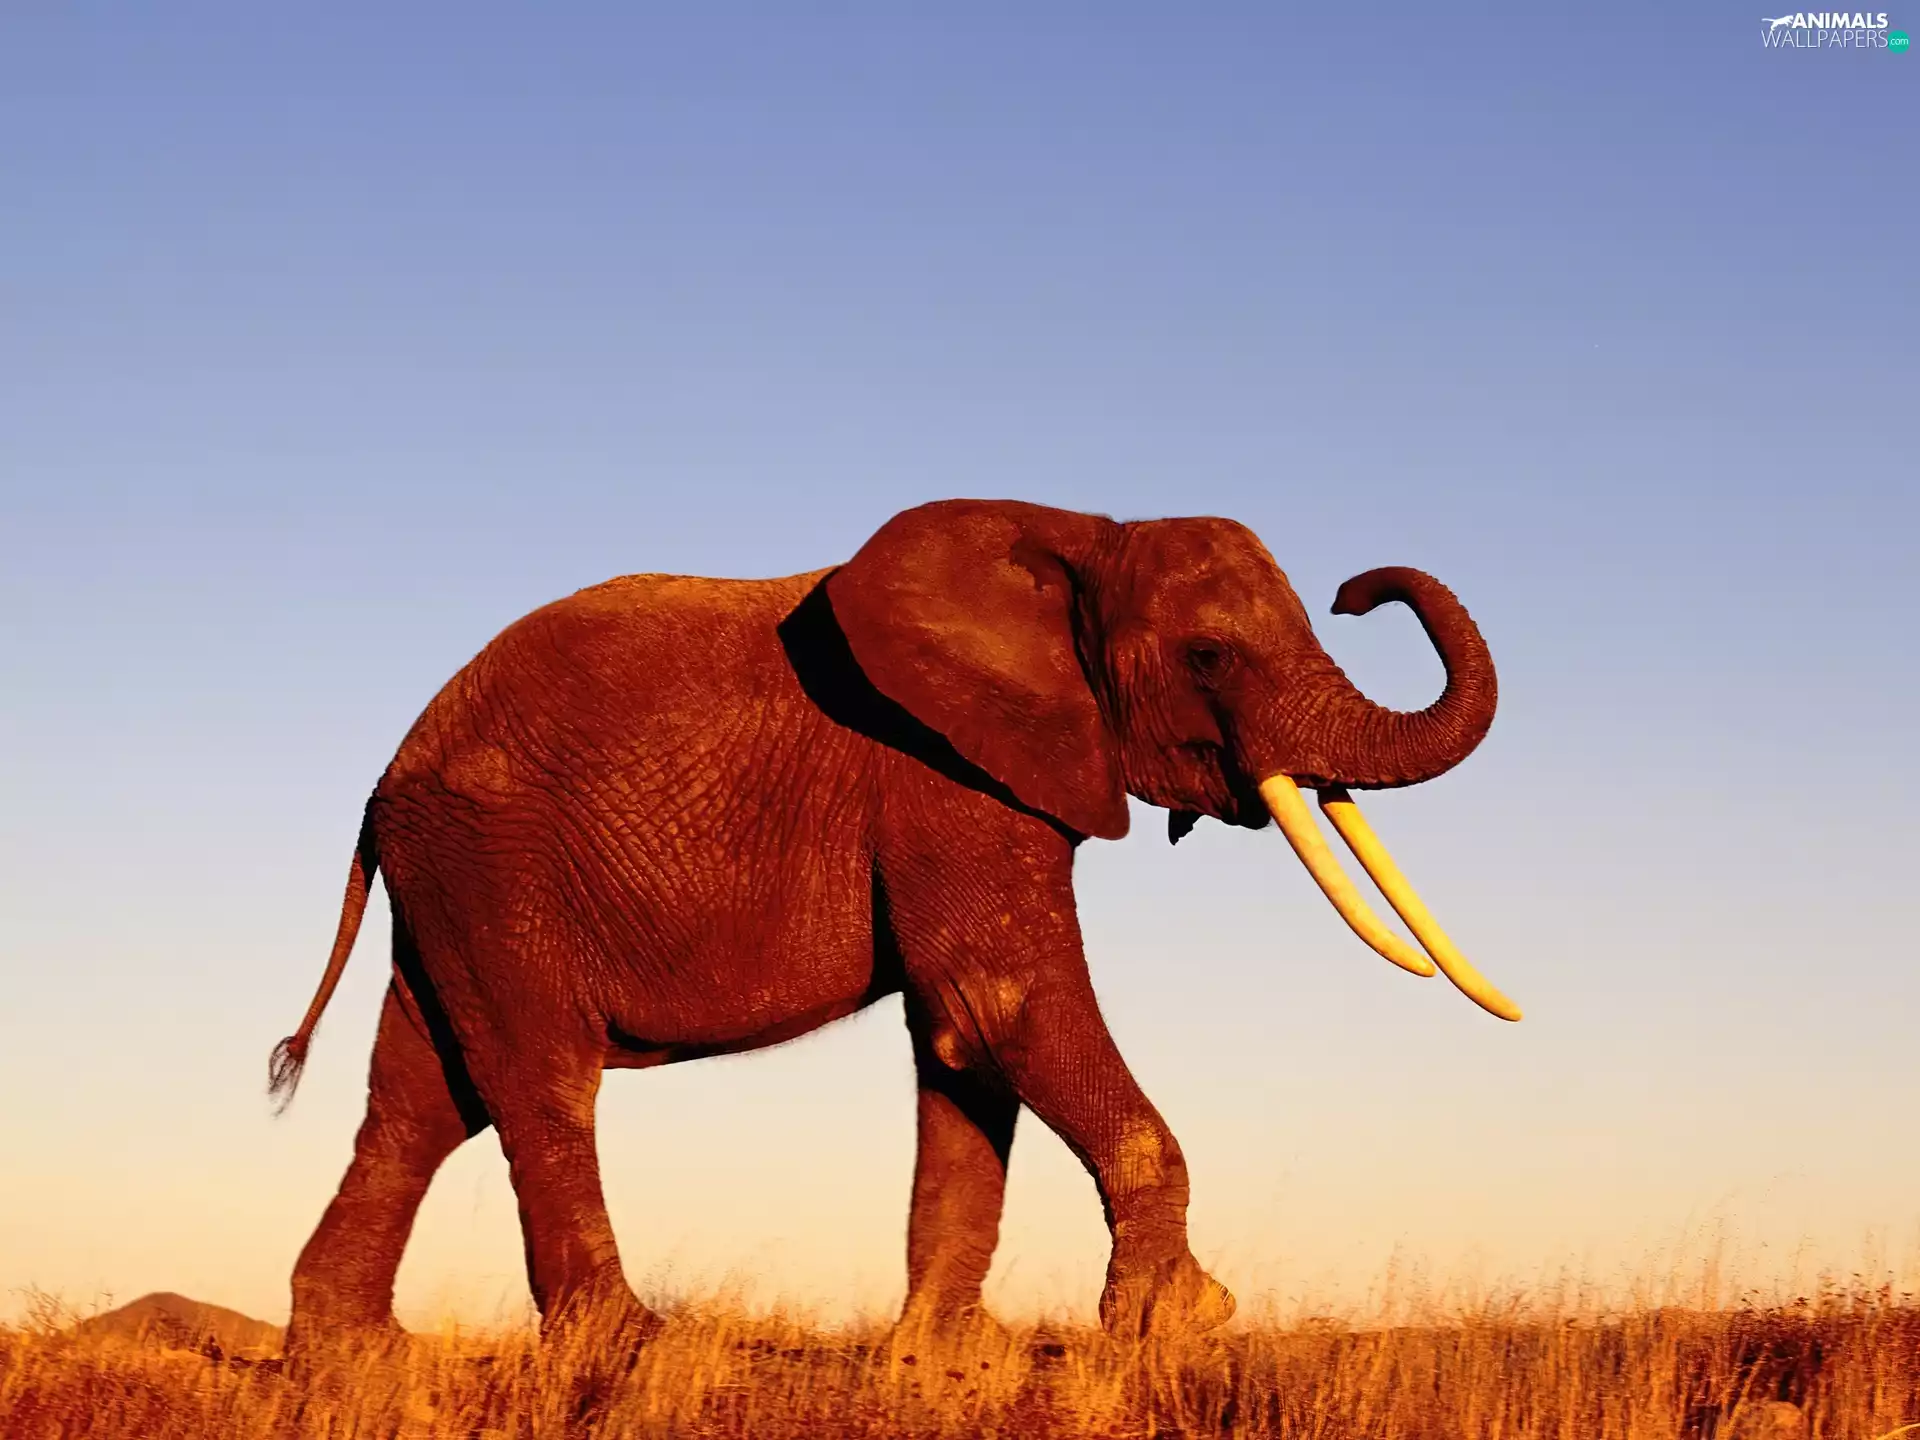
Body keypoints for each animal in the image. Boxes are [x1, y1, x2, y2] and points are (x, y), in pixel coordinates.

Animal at [269, 498, 1518, 1356]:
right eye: (1209, 655)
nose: (1360, 588)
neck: (1081, 537)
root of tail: (385, 779)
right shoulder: (941, 774)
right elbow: (1002, 1003)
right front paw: (1184, 1321)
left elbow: (963, 1043)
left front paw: (945, 1353)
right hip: (496, 861)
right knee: (537, 1083)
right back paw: (629, 1346)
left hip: (455, 879)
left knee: (422, 1098)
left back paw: (354, 1355)